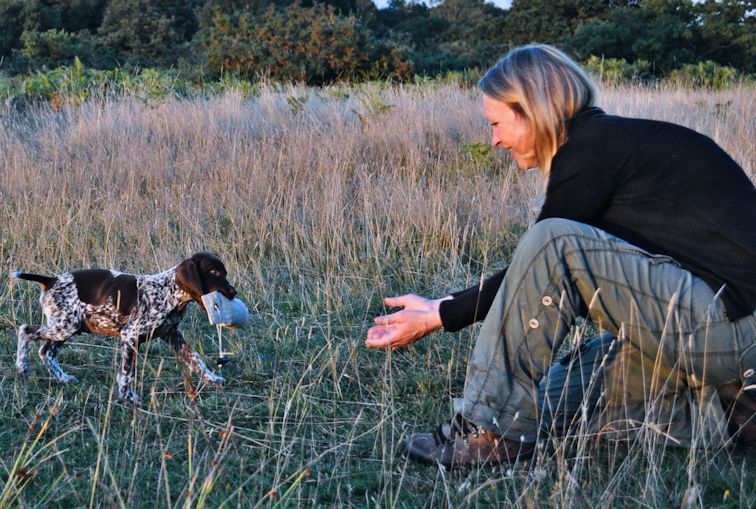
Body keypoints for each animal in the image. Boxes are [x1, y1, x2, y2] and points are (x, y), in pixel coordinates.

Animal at [12, 252, 236, 402]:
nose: (233, 293)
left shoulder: (173, 335)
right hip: (64, 326)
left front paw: (212, 378)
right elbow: (127, 372)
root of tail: (51, 280)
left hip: (68, 327)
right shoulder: (130, 337)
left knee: (46, 352)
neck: (168, 292)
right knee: (25, 331)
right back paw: (22, 369)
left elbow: (196, 359)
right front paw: (128, 397)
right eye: (215, 273)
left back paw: (63, 378)